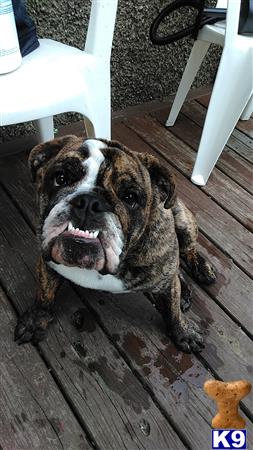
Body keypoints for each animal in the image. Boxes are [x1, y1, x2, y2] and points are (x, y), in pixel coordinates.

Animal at [14, 135, 215, 354]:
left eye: (130, 197)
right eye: (61, 178)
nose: (88, 202)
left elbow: (173, 309)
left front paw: (183, 332)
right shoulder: (47, 261)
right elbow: (44, 293)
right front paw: (36, 320)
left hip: (183, 223)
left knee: (187, 252)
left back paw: (199, 272)